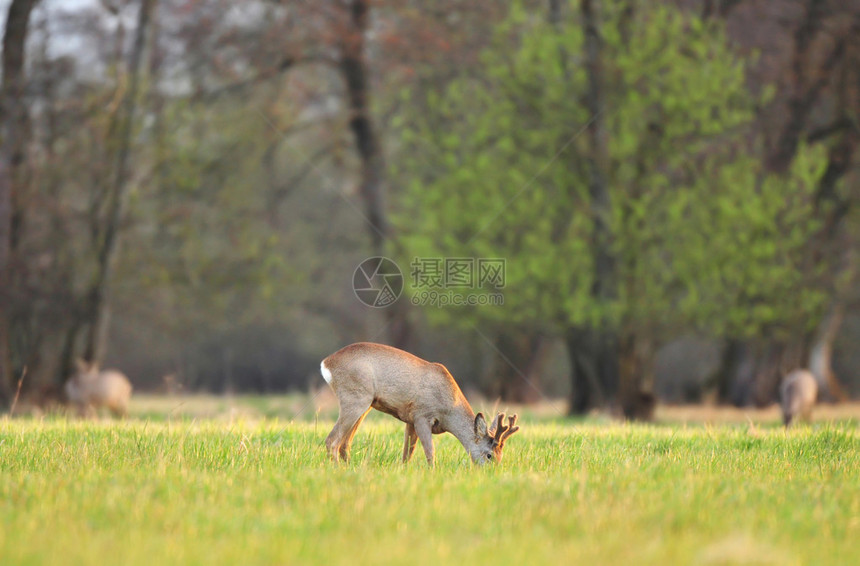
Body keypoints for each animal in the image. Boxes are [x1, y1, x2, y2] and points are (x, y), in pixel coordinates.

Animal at [322, 344, 520, 468]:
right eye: (489, 454)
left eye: (501, 455)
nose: (493, 472)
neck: (449, 409)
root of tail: (326, 363)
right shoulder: (422, 415)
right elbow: (430, 451)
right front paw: (433, 473)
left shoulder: (410, 420)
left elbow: (407, 454)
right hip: (354, 398)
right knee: (332, 440)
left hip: (366, 404)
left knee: (345, 444)